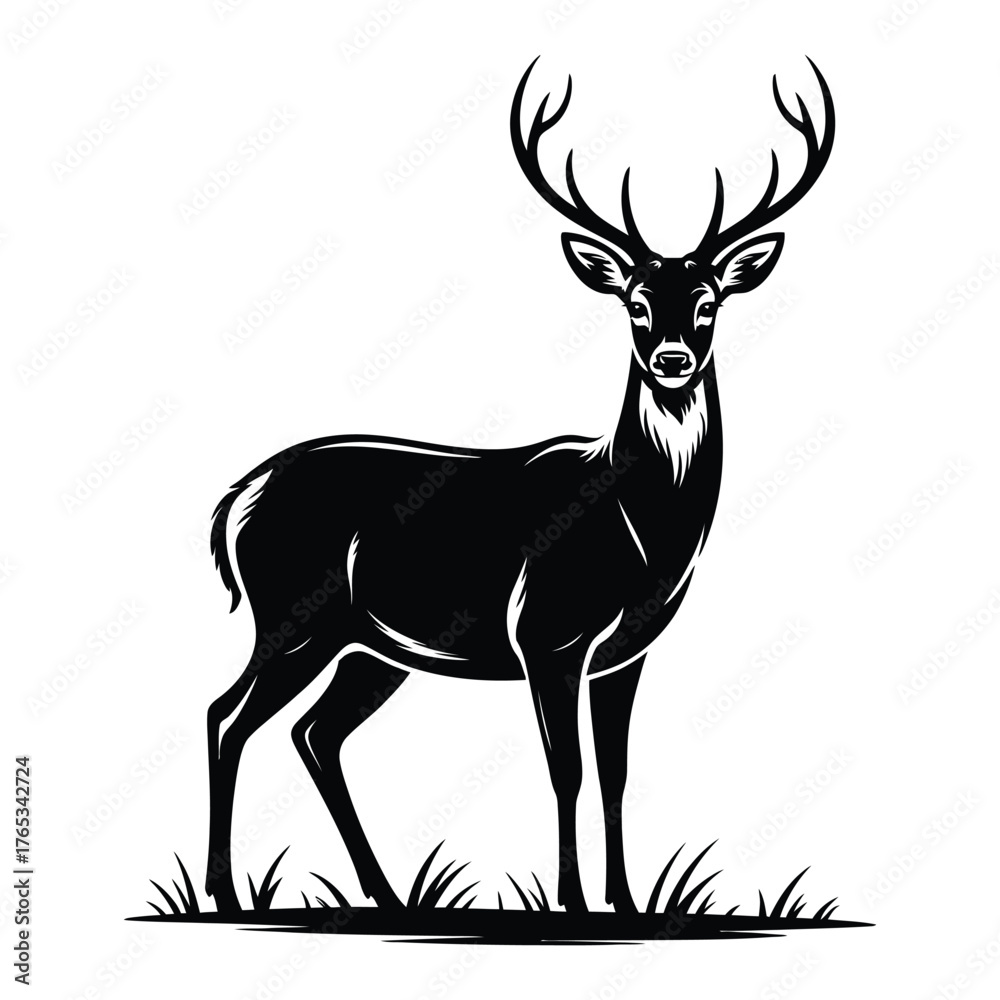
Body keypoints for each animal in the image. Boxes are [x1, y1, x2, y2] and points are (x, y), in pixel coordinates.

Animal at [203, 56, 834, 915]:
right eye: (635, 302)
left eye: (707, 301)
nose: (672, 358)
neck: (641, 534)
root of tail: (235, 500)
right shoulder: (548, 632)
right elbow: (566, 770)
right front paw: (571, 902)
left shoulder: (626, 653)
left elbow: (616, 774)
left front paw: (627, 903)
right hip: (294, 612)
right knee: (227, 716)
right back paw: (227, 894)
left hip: (370, 645)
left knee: (314, 733)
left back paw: (386, 893)